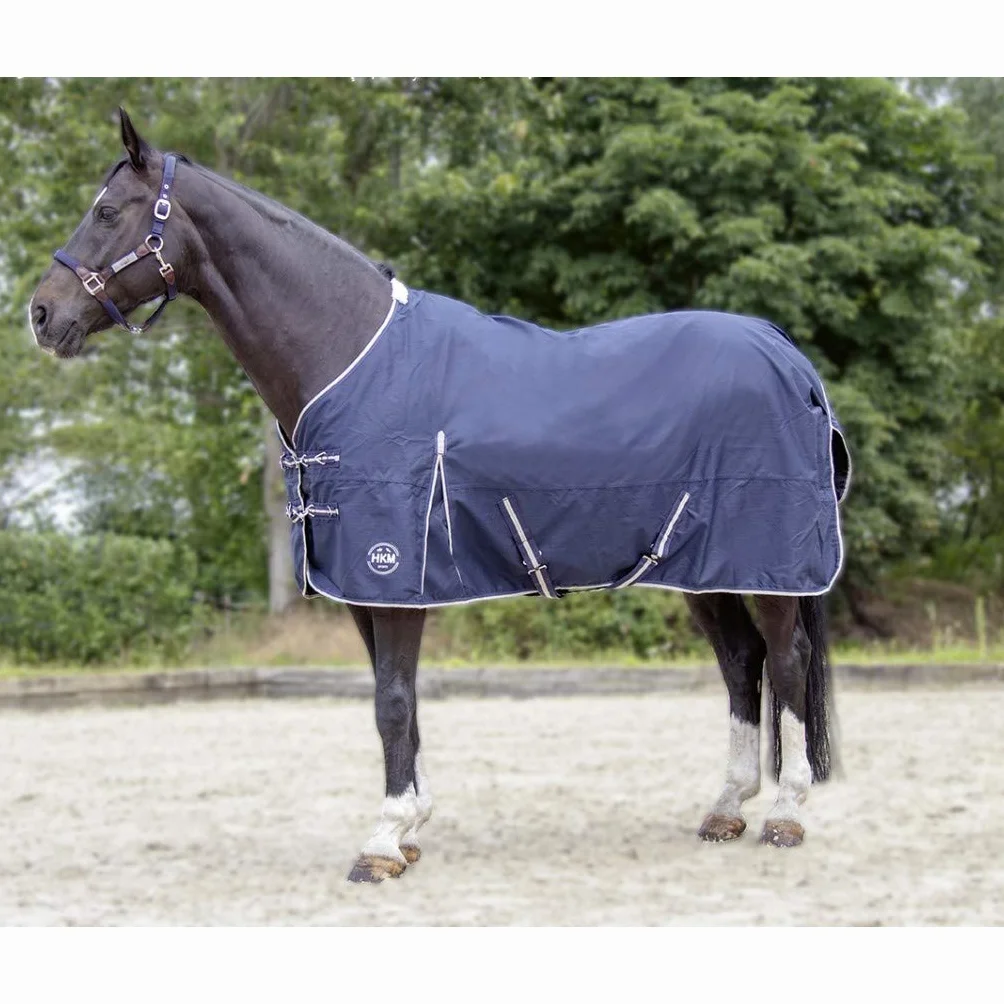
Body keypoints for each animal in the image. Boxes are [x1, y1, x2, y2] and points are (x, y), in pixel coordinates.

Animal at [29, 110, 849, 883]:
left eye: (107, 210)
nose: (41, 315)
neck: (351, 359)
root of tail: (786, 353)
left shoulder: (392, 573)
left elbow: (392, 702)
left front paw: (382, 841)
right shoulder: (365, 586)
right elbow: (400, 700)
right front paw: (412, 827)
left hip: (767, 565)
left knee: (784, 659)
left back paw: (785, 813)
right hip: (701, 566)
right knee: (740, 660)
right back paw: (726, 807)